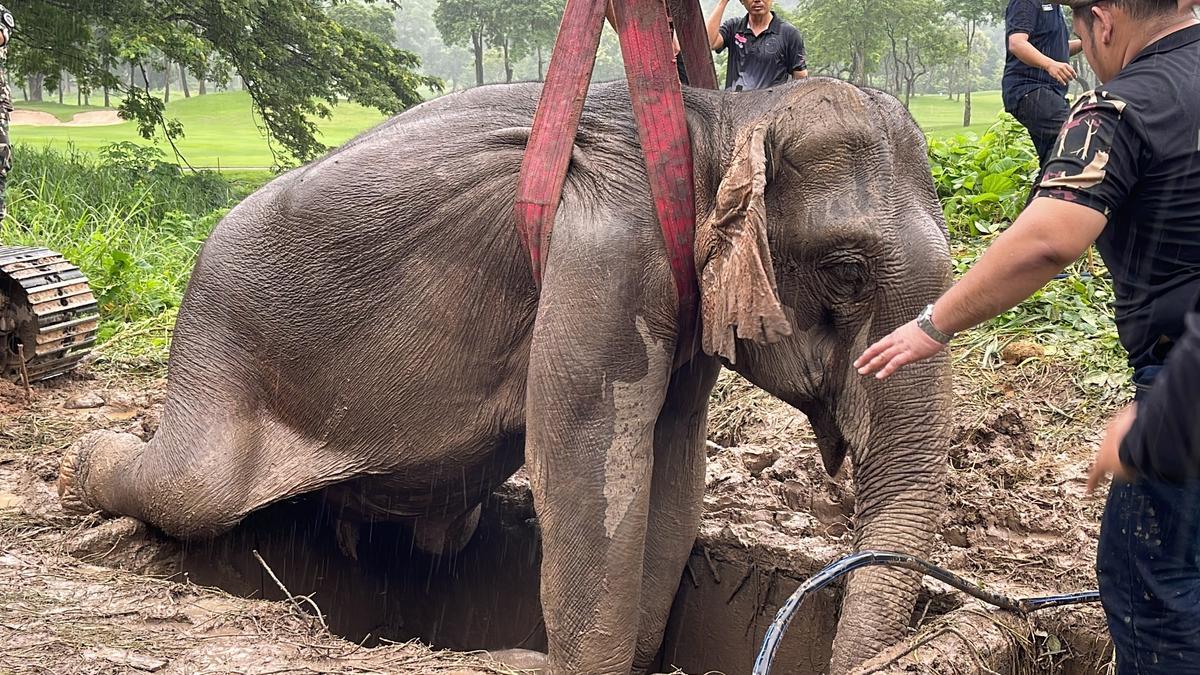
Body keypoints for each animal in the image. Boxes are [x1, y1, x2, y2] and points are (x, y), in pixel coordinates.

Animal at [58, 77, 945, 672]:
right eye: (848, 270)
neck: (719, 117)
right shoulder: (607, 258)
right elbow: (590, 469)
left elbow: (673, 474)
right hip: (218, 343)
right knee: (194, 487)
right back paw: (77, 467)